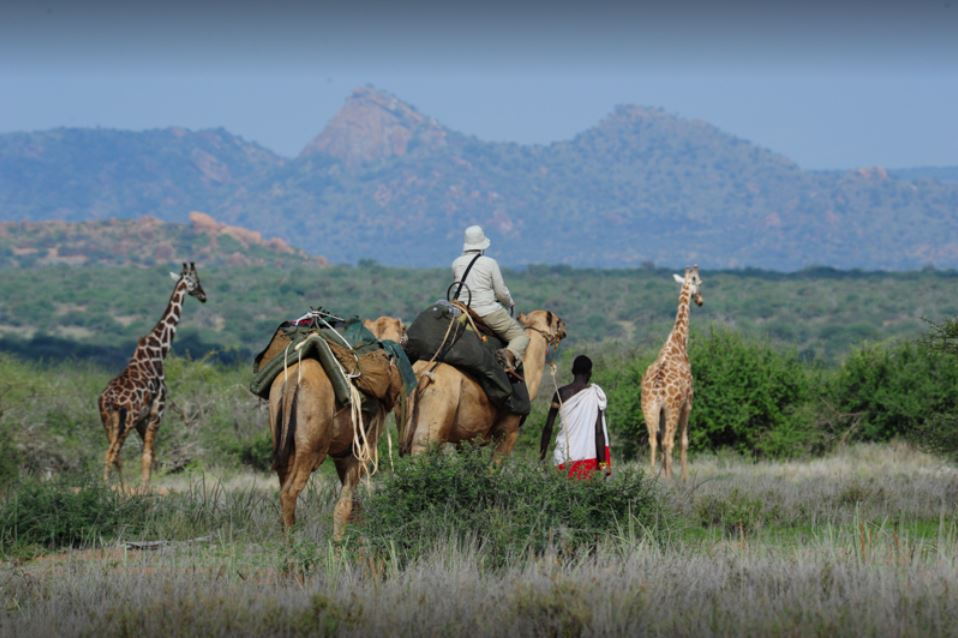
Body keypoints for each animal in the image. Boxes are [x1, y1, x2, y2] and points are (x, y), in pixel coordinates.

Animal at [268, 316, 404, 540]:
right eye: (403, 331)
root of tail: (293, 380)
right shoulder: (365, 445)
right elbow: (346, 499)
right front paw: (340, 543)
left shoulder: (342, 452)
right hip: (311, 447)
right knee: (290, 491)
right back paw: (293, 546)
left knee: (282, 483)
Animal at [402, 312, 568, 458]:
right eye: (557, 321)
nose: (564, 330)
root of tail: (423, 375)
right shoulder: (509, 432)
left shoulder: (465, 439)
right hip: (434, 423)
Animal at [644, 264, 704, 480]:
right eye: (699, 282)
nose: (700, 301)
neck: (678, 342)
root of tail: (657, 388)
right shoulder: (688, 403)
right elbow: (684, 442)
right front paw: (684, 479)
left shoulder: (661, 410)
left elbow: (660, 441)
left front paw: (663, 473)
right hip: (672, 408)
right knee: (669, 441)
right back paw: (670, 480)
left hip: (649, 407)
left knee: (653, 439)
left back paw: (651, 477)